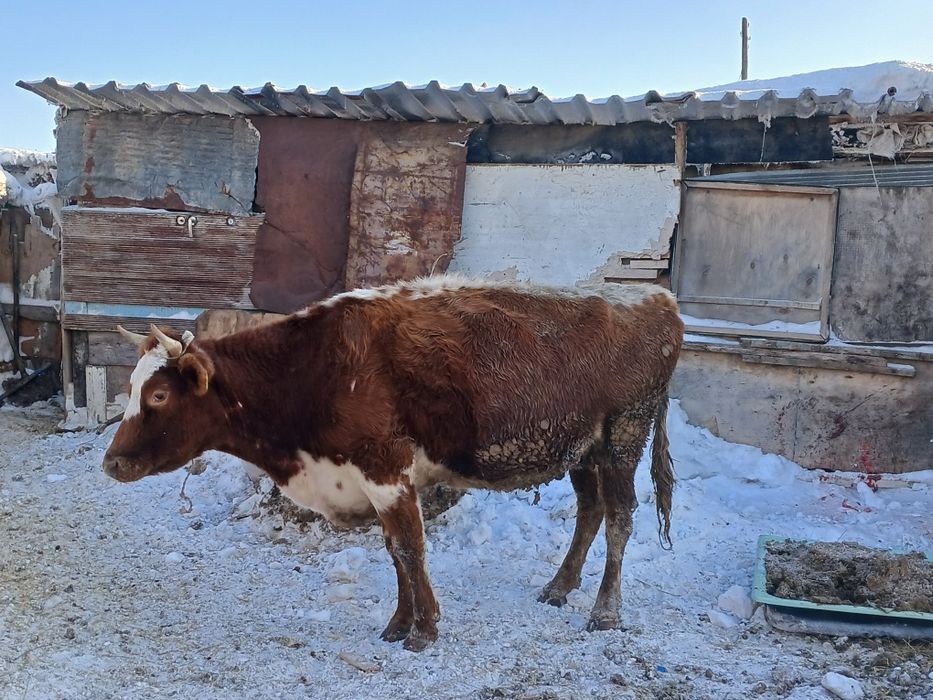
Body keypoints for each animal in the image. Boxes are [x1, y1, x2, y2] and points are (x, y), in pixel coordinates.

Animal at [103, 276, 683, 651]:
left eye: (158, 396)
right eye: (132, 386)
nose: (111, 463)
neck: (317, 367)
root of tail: (658, 297)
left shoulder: (385, 468)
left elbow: (408, 548)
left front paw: (423, 630)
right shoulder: (372, 478)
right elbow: (393, 552)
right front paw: (399, 623)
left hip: (623, 436)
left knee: (619, 517)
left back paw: (605, 611)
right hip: (583, 448)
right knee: (589, 512)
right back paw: (559, 587)